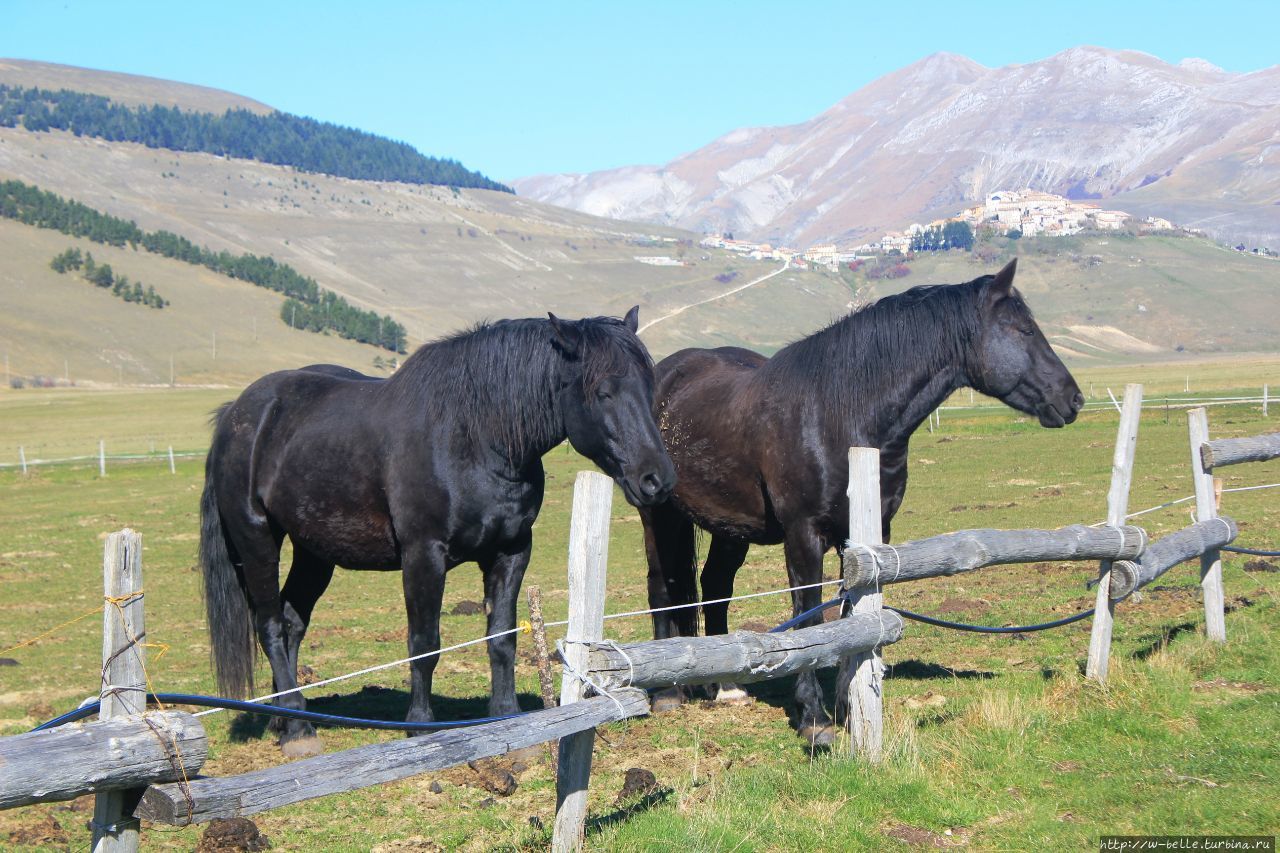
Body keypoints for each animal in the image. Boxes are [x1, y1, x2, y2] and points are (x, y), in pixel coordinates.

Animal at [199, 306, 675, 753]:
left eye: (649, 387)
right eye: (603, 391)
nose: (658, 479)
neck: (475, 436)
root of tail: (238, 413)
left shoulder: (511, 551)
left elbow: (501, 638)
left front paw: (506, 716)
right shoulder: (424, 555)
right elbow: (425, 643)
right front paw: (420, 725)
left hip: (315, 551)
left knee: (293, 622)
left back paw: (287, 716)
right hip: (257, 539)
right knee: (271, 625)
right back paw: (297, 729)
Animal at [640, 258, 1080, 742]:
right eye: (1023, 330)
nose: (1073, 398)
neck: (837, 414)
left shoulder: (866, 535)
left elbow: (853, 614)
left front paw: (849, 708)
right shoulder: (804, 535)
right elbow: (809, 617)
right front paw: (814, 719)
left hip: (732, 527)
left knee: (716, 585)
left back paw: (726, 688)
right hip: (658, 516)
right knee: (663, 586)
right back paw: (667, 695)